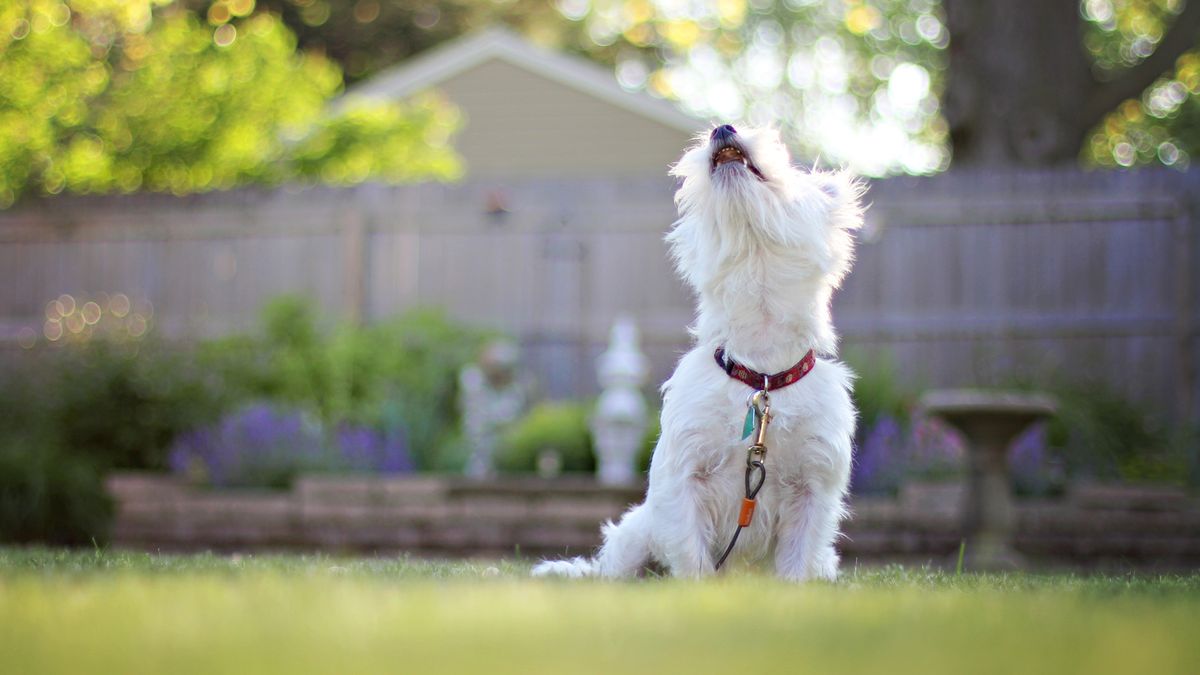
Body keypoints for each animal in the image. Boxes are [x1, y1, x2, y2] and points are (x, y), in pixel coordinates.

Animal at [535, 124, 864, 578]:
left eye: (787, 163)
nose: (723, 127)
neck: (760, 373)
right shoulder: (685, 478)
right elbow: (692, 555)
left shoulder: (813, 486)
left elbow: (797, 563)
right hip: (636, 533)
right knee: (613, 570)